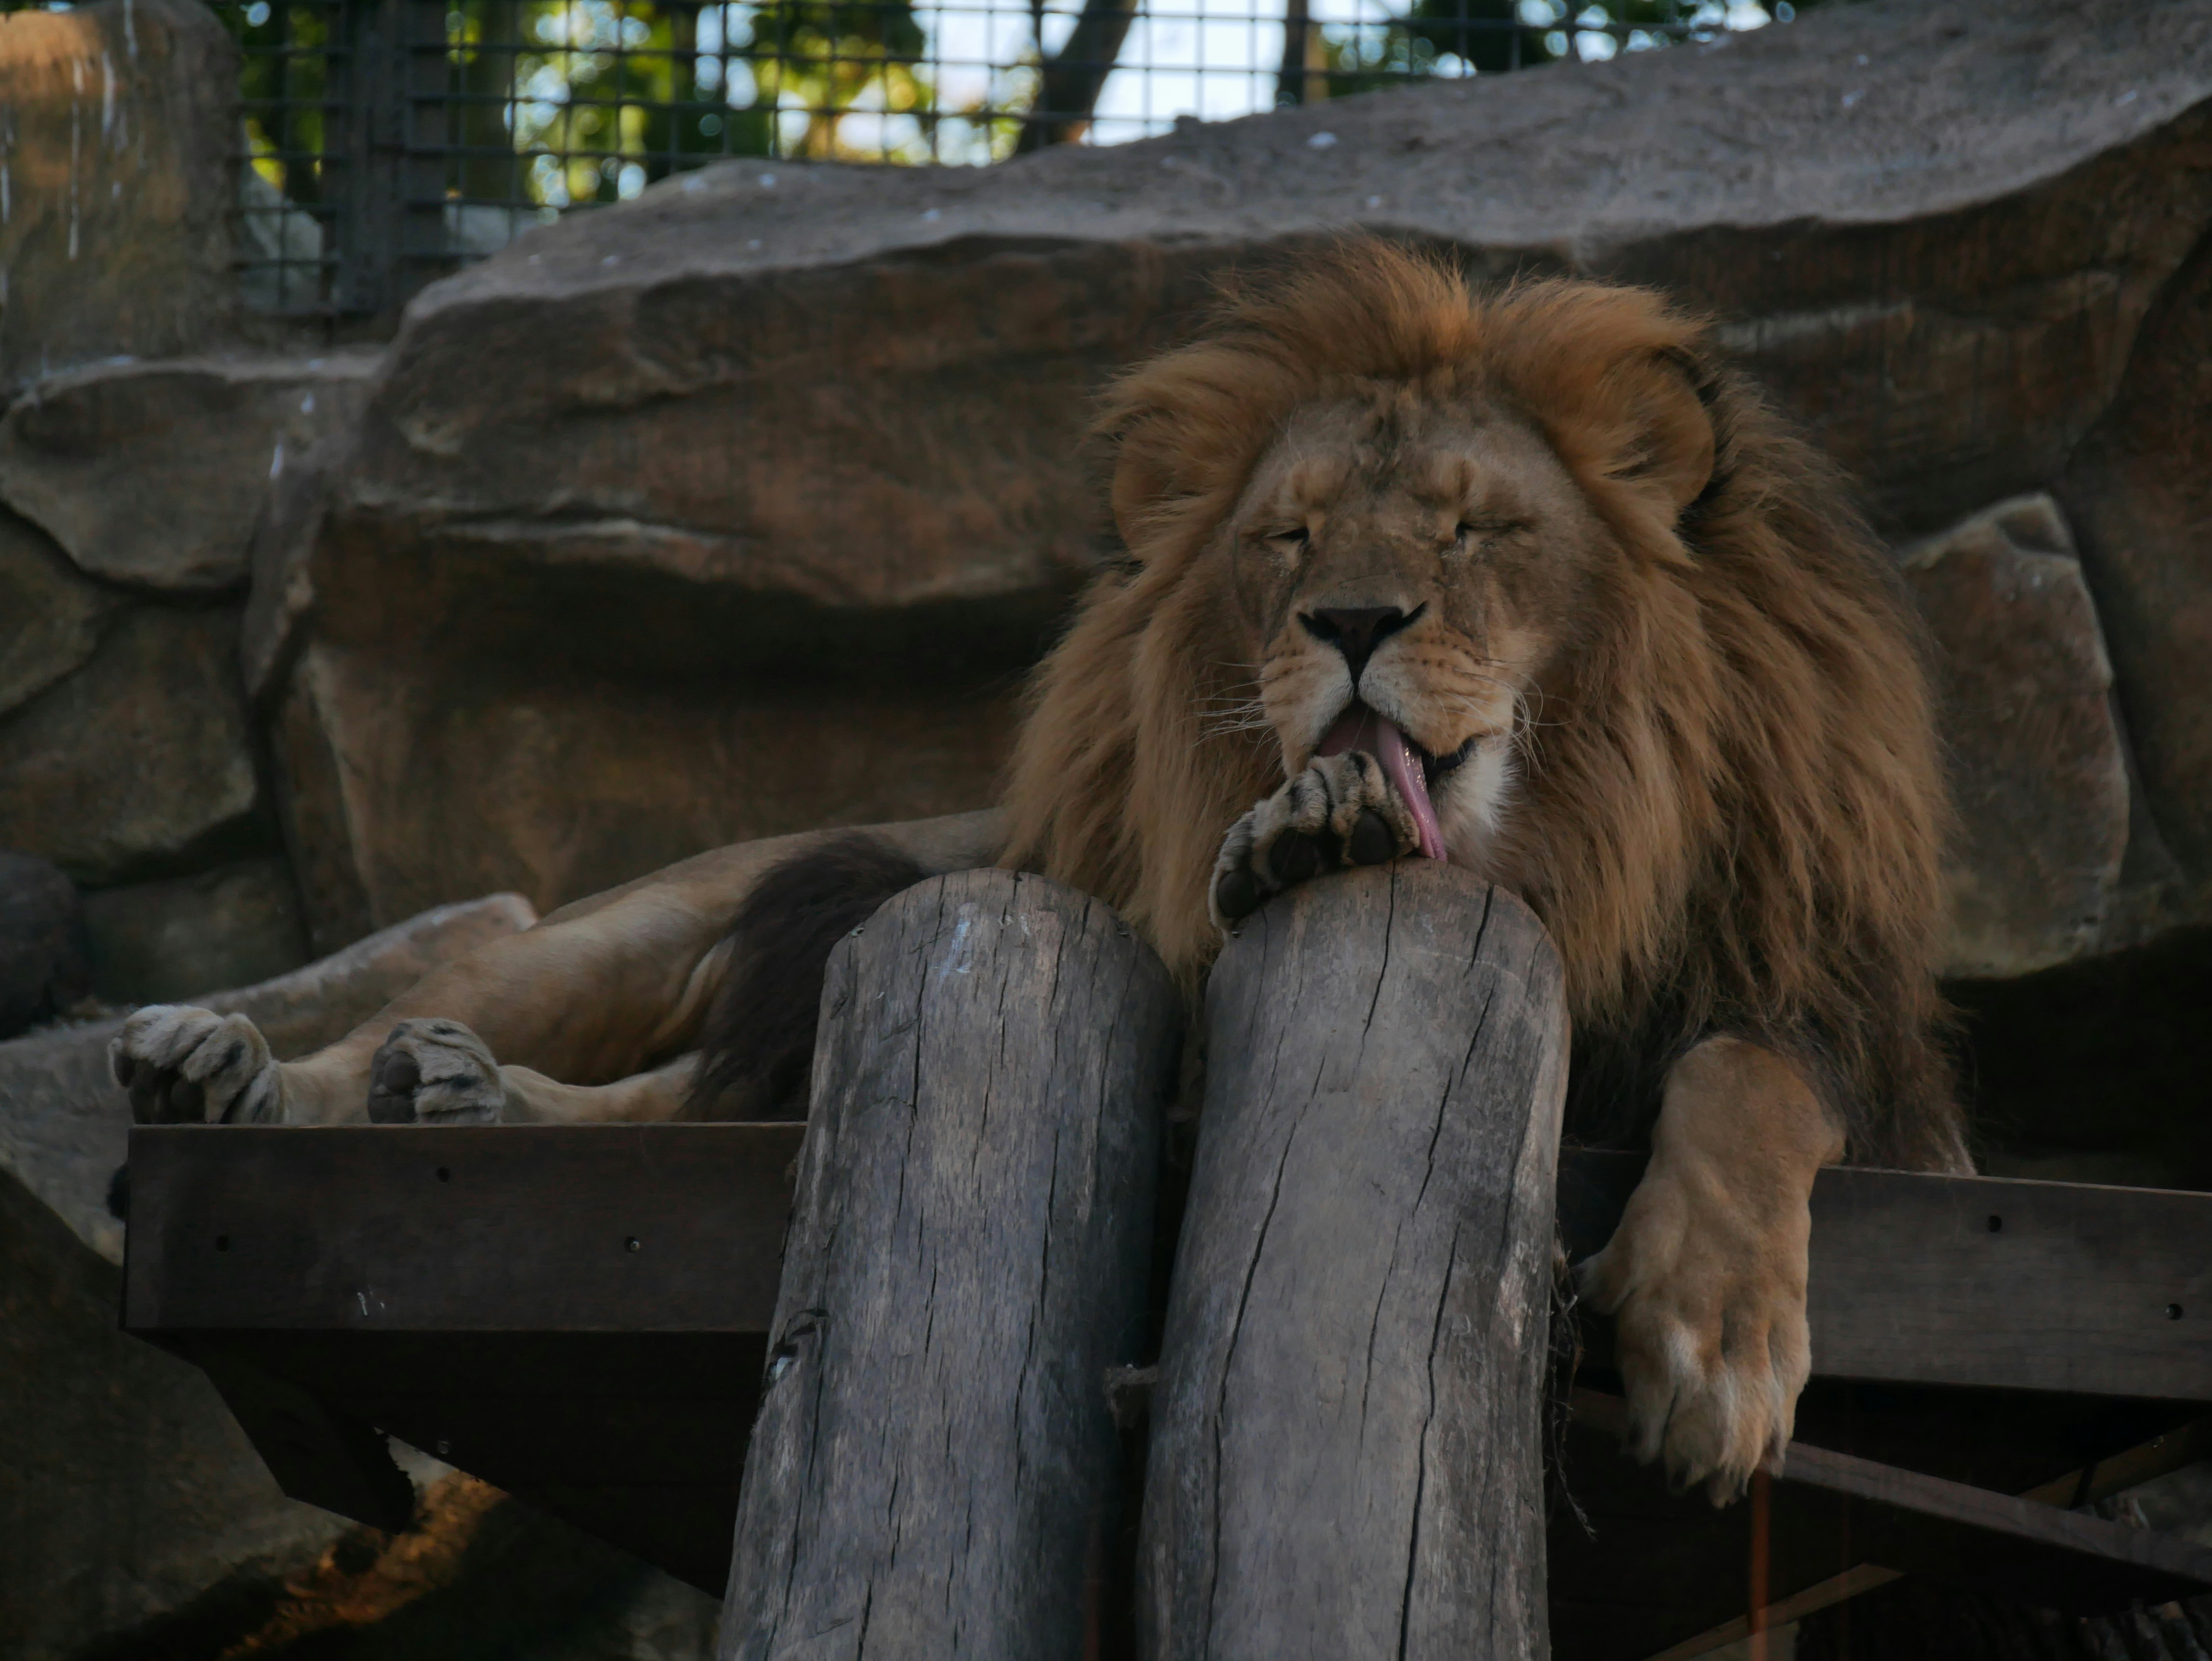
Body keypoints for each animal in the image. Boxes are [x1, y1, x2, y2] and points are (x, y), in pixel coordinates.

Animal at [113, 240, 1966, 1505]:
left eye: (1472, 530)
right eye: (1290, 537)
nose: (1349, 623)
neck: (1568, 858)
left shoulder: (1850, 1043)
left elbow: (1748, 1083)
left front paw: (1713, 1346)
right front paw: (1302, 837)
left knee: (700, 1107)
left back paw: (461, 1097)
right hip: (656, 916)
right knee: (526, 1037)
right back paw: (245, 1067)